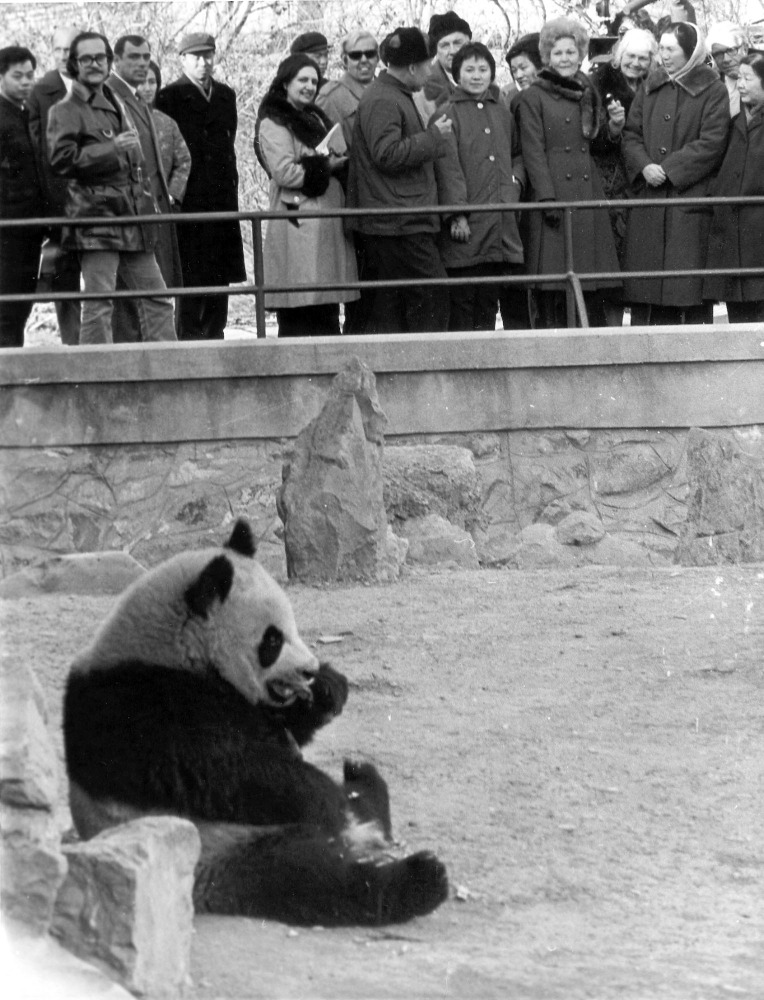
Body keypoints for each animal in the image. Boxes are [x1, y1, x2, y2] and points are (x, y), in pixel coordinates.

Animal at [65, 520, 450, 924]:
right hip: (228, 849)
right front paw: (322, 794)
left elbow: (281, 728)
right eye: (272, 640)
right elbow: (227, 770)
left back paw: (362, 783)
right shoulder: (146, 710)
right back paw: (418, 876)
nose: (309, 669)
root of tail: (351, 839)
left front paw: (328, 689)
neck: (170, 649)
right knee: (312, 877)